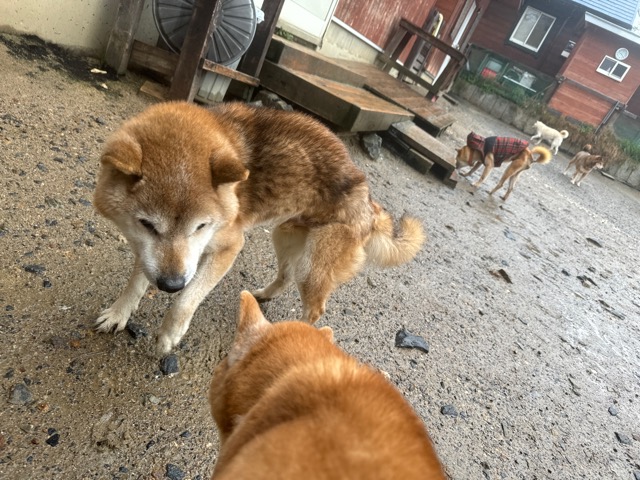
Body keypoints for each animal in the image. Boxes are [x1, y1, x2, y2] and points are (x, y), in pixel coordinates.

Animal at [93, 101, 425, 355]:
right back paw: (264, 294)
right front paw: (119, 314)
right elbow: (137, 282)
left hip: (313, 267)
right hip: (285, 235)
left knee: (315, 310)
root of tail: (369, 199)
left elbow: (186, 301)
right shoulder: (148, 250)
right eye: (147, 224)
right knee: (286, 275)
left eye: (201, 226)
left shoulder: (228, 248)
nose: (171, 284)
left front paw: (168, 334)